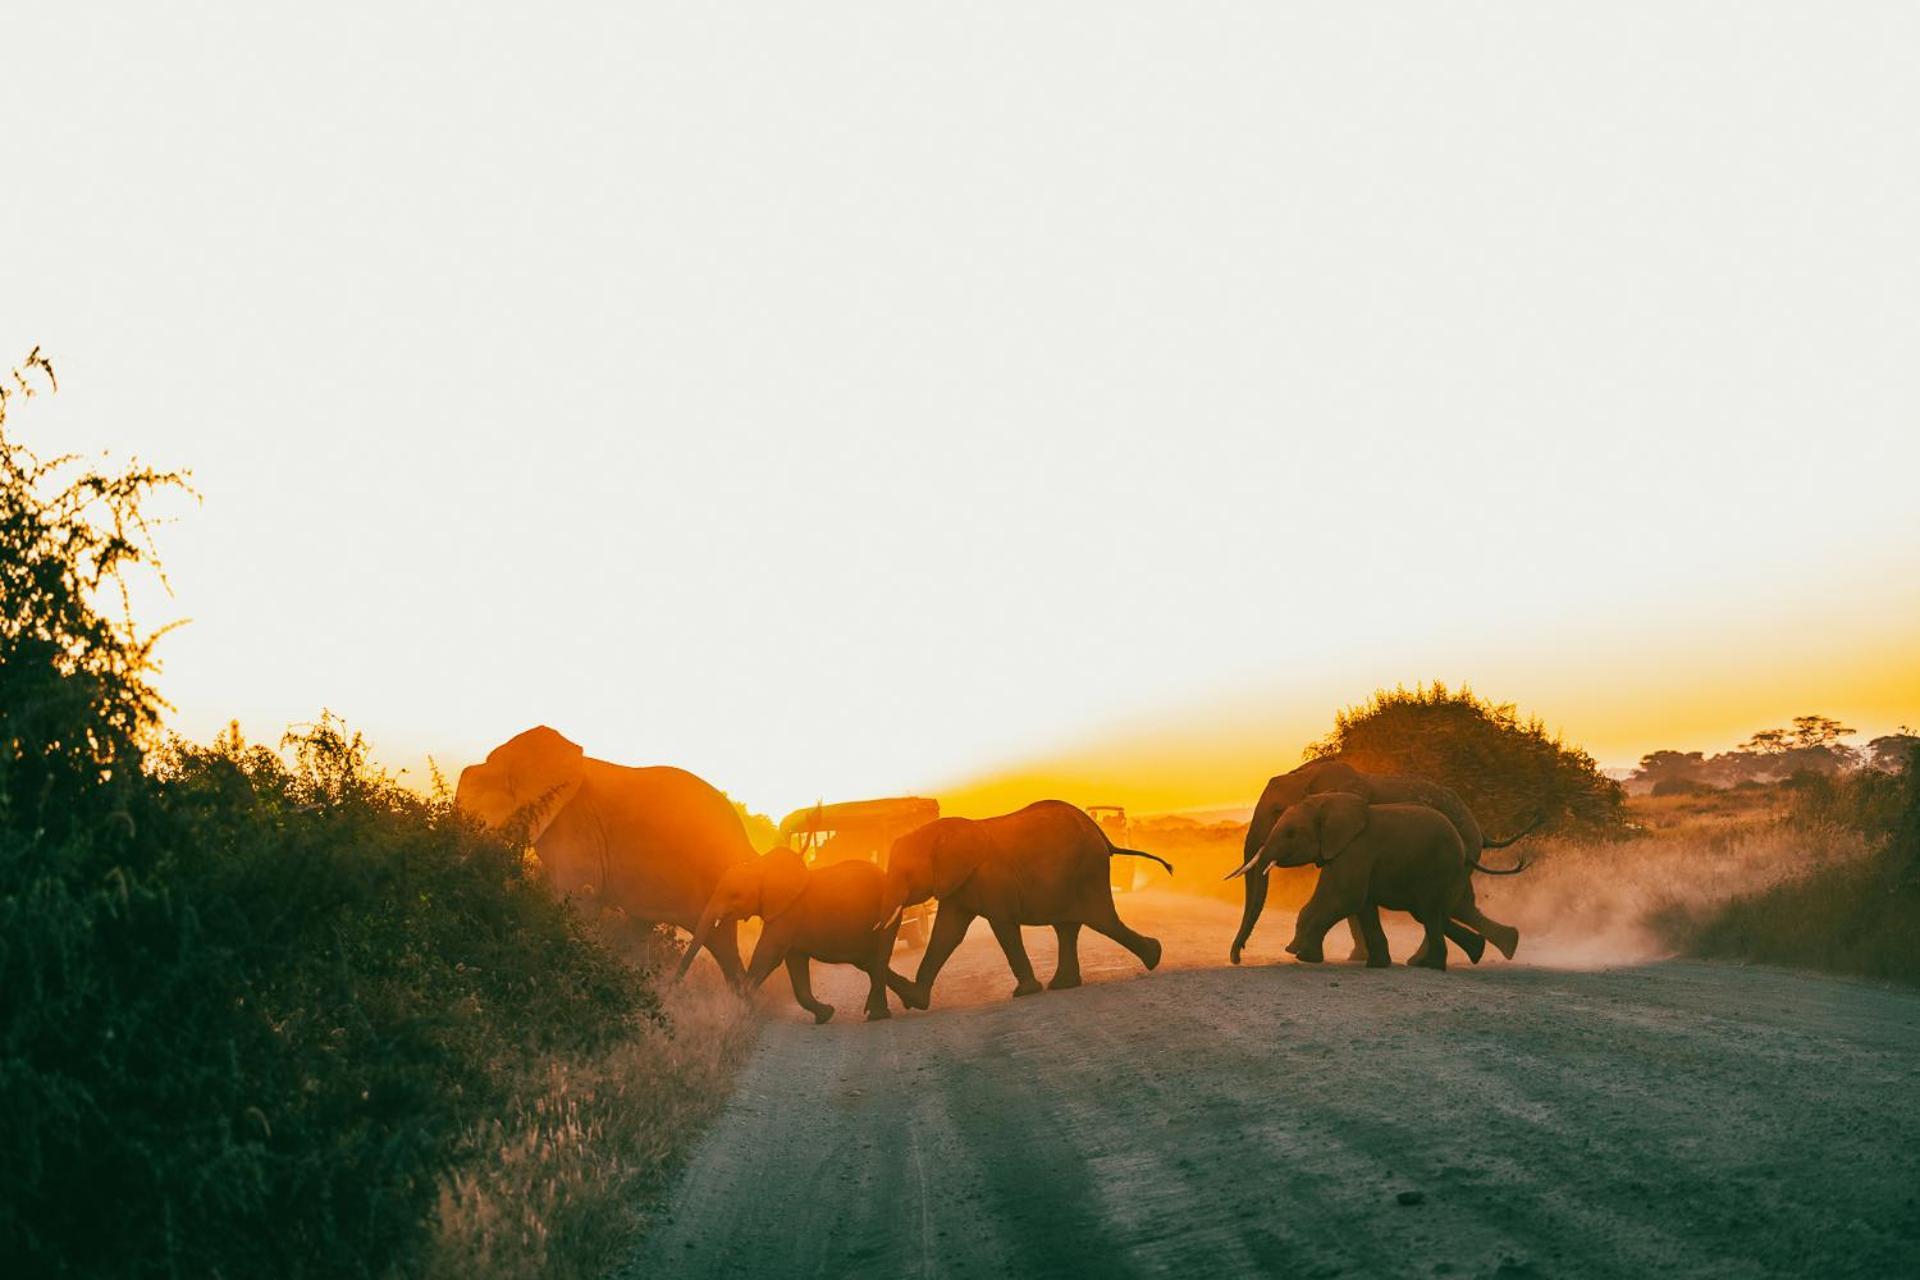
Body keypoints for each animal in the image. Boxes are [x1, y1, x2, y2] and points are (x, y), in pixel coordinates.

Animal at [875, 805, 1167, 1005]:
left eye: (906, 874)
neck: (934, 832)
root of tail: (1102, 835)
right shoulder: (958, 882)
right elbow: (947, 934)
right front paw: (916, 1000)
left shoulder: (991, 876)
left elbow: (1003, 926)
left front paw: (1025, 993)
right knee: (1068, 926)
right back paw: (1065, 984)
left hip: (1088, 870)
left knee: (1101, 919)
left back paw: (1154, 955)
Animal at [1236, 759, 1536, 959]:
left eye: (1278, 811)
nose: (1238, 956)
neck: (1307, 775)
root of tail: (1480, 830)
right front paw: (1359, 958)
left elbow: (1349, 894)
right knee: (1460, 904)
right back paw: (1507, 946)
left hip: (1459, 850)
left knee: (1446, 904)